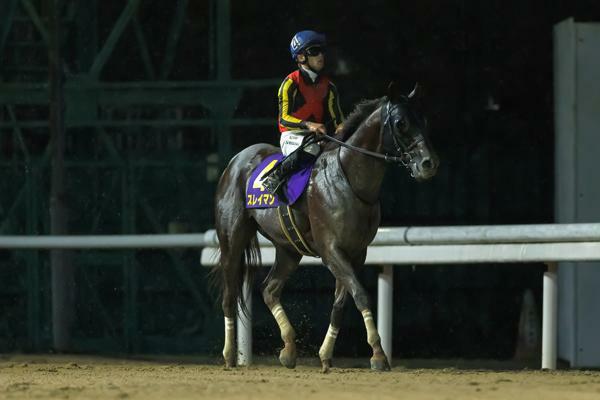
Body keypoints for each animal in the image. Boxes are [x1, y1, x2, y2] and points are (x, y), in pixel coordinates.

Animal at [213, 83, 438, 374]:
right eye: (401, 123)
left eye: (423, 120)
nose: (429, 163)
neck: (351, 180)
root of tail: (236, 161)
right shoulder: (331, 250)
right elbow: (361, 295)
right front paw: (378, 354)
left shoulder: (356, 253)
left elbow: (342, 303)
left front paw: (326, 355)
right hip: (232, 239)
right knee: (230, 293)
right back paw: (230, 355)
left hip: (288, 248)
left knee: (270, 289)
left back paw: (289, 349)